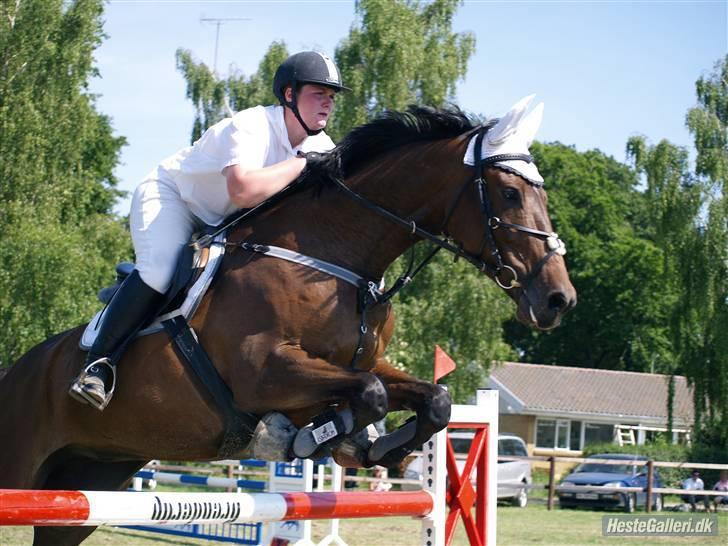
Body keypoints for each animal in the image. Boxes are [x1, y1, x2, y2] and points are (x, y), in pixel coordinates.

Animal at [0, 100, 576, 540]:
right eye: (509, 193)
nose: (558, 300)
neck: (339, 256)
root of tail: (17, 371)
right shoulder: (264, 372)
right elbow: (369, 395)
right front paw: (300, 438)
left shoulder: (361, 364)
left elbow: (428, 397)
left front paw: (377, 448)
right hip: (24, 466)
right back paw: (93, 379)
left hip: (91, 479)